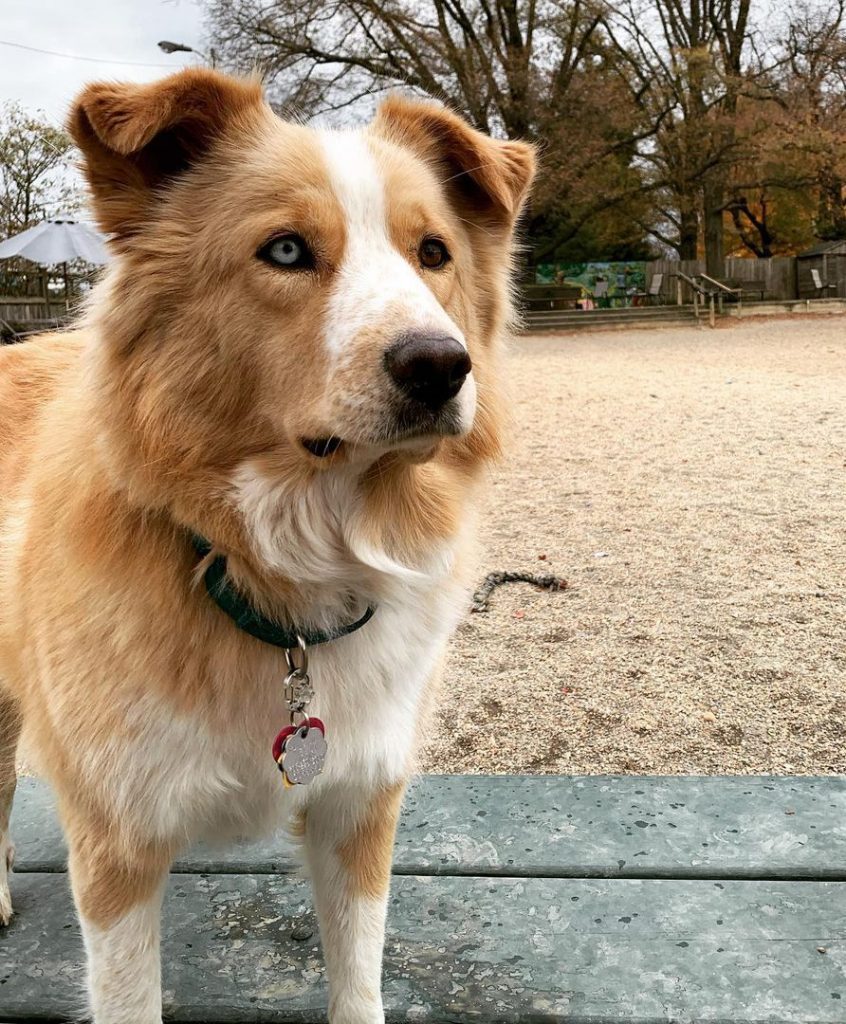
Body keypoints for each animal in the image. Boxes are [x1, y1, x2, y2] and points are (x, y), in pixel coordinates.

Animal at [0, 72, 532, 1024]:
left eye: (433, 252)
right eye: (285, 251)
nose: (441, 366)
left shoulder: (359, 805)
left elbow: (358, 978)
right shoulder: (115, 844)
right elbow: (129, 996)